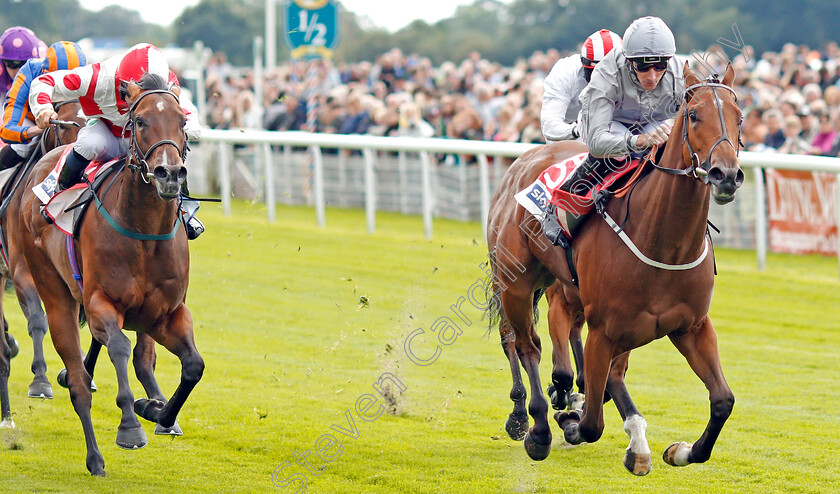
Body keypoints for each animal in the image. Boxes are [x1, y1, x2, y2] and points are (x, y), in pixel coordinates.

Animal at [18, 76, 203, 474]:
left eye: (182, 121)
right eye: (140, 121)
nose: (169, 174)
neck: (144, 232)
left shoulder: (166, 314)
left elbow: (193, 365)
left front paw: (158, 411)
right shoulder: (102, 302)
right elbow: (118, 346)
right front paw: (130, 426)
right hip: (53, 291)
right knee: (77, 382)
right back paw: (94, 457)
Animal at [486, 63, 740, 472]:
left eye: (740, 117)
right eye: (693, 115)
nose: (726, 174)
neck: (664, 241)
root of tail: (523, 161)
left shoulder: (692, 327)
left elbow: (722, 402)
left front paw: (680, 450)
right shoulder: (602, 331)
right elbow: (591, 423)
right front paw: (567, 420)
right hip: (515, 285)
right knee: (524, 344)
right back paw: (532, 422)